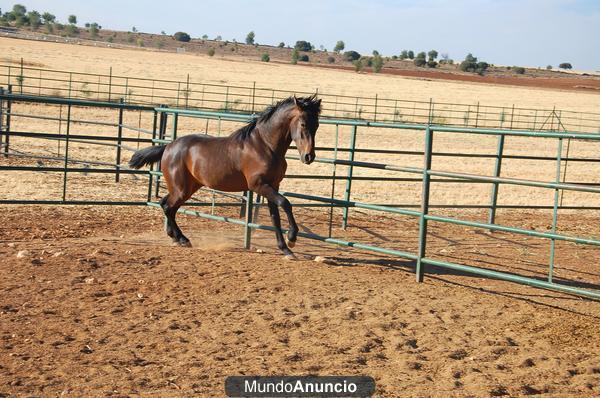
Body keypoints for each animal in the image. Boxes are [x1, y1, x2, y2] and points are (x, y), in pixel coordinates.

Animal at [129, 95, 322, 260]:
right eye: (303, 124)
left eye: (317, 125)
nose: (309, 157)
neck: (265, 146)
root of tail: (168, 147)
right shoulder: (259, 185)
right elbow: (286, 203)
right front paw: (292, 238)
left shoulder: (273, 186)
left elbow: (275, 216)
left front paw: (286, 249)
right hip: (181, 188)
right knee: (168, 207)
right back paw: (183, 239)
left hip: (187, 187)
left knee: (166, 205)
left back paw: (176, 238)